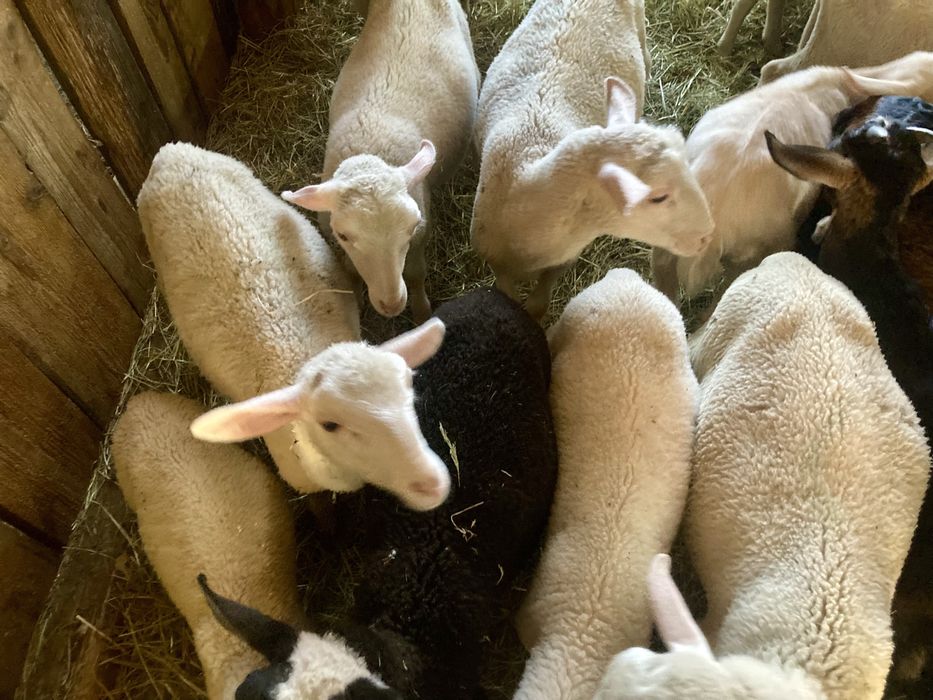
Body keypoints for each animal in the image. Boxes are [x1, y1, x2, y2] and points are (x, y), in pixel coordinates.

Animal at [281, 0, 479, 322]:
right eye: (344, 235)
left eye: (411, 227)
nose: (391, 303)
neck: (371, 143)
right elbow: (350, 272)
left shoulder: (421, 234)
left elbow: (415, 274)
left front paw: (421, 311)